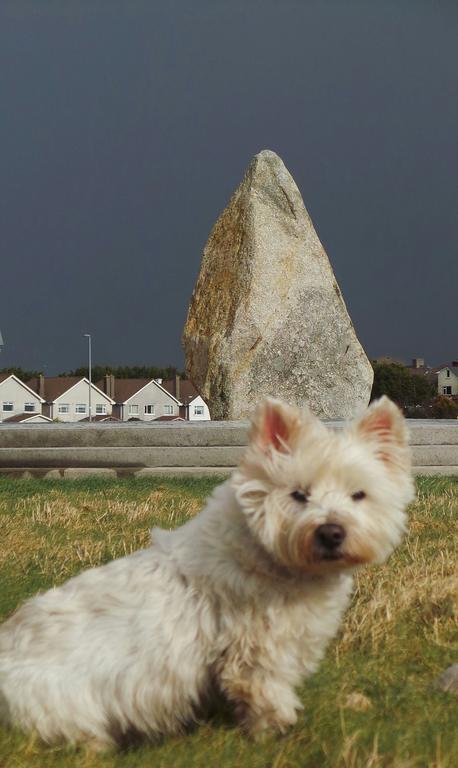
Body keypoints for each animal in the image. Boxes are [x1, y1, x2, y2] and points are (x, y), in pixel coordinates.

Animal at [0, 400, 416, 748]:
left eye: (358, 494)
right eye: (298, 494)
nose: (331, 533)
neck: (267, 554)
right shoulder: (256, 650)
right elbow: (264, 692)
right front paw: (273, 732)